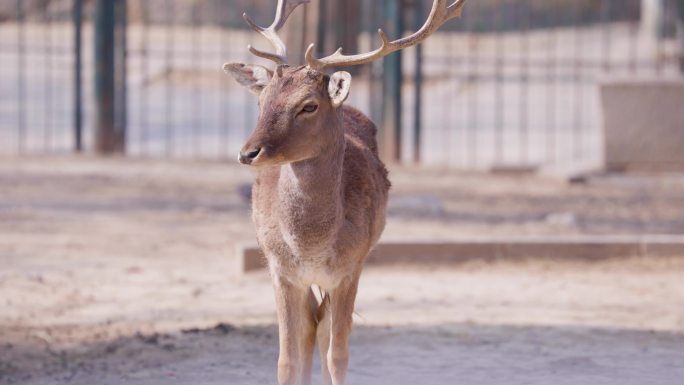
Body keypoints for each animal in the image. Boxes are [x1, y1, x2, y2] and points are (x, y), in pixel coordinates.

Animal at [223, 0, 464, 384]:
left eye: (308, 105)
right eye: (262, 101)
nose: (248, 153)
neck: (310, 248)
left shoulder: (350, 268)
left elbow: (338, 354)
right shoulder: (279, 269)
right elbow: (286, 359)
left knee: (322, 329)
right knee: (310, 327)